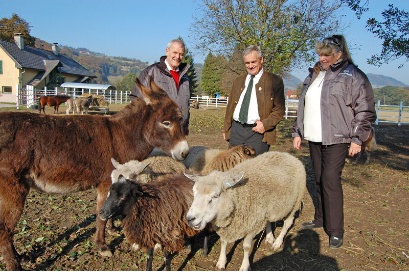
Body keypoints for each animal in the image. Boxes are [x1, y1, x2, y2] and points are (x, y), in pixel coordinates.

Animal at [0, 77, 189, 270]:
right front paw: (102, 246)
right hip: (13, 189)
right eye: (166, 123)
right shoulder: (105, 182)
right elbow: (100, 214)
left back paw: (20, 257)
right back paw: (14, 265)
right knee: (5, 229)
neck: (120, 137)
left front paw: (112, 229)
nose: (185, 153)